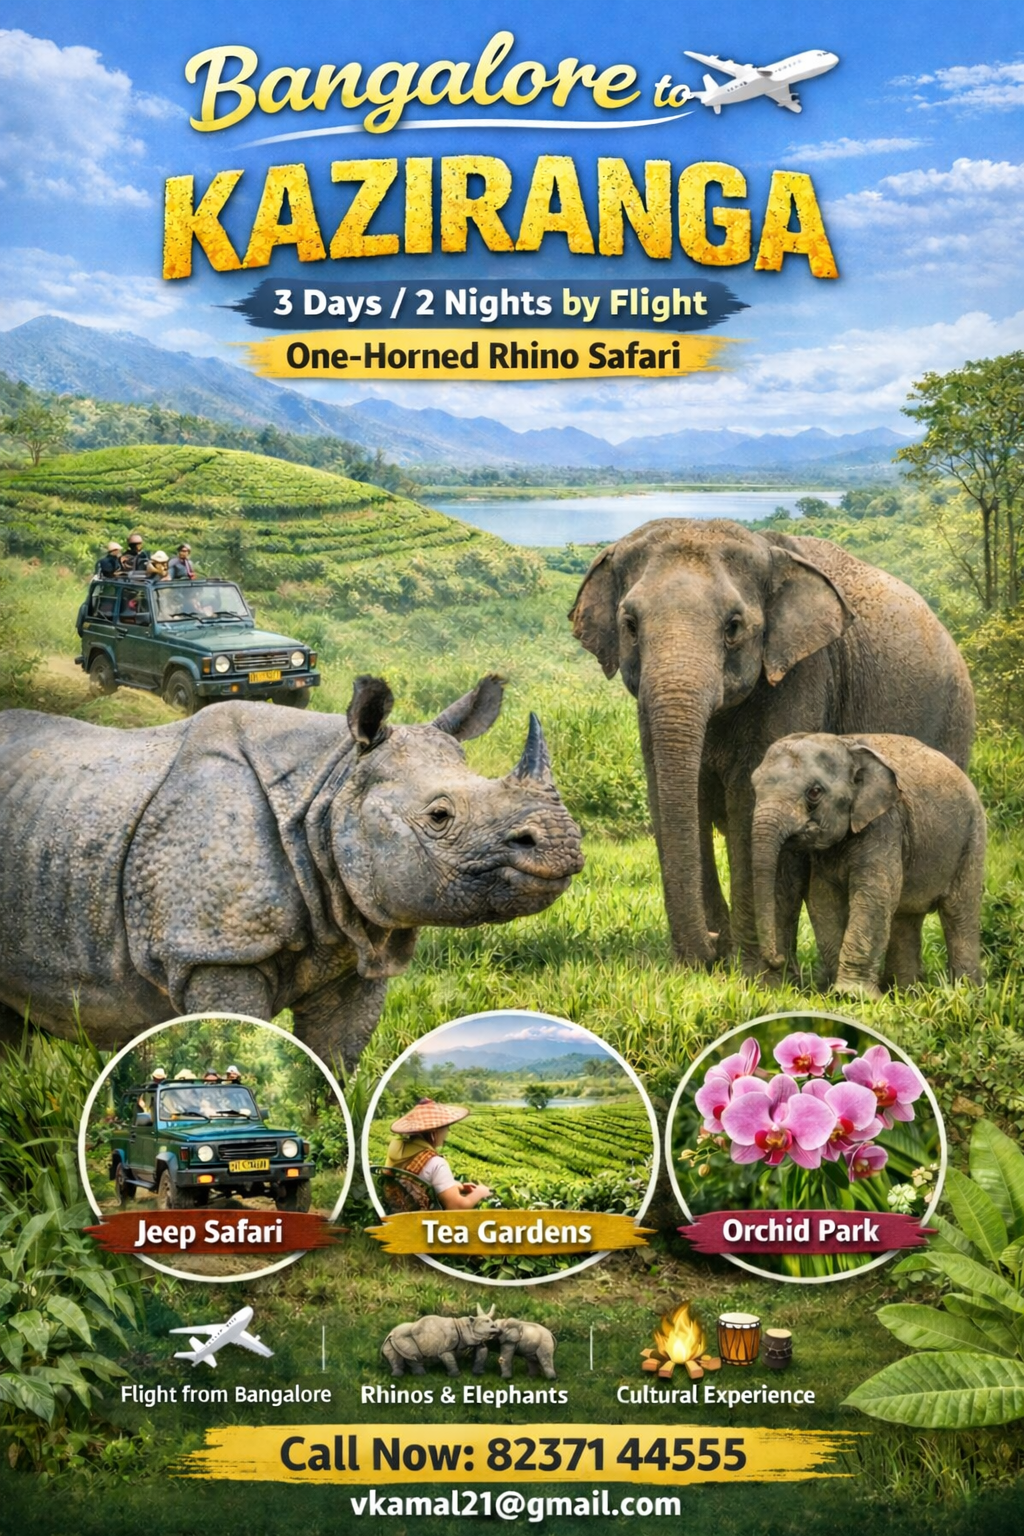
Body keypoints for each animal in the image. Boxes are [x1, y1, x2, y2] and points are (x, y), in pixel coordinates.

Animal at [0, 675, 583, 1063]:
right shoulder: (211, 949)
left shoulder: (355, 944)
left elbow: (335, 1059)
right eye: (439, 817)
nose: (561, 842)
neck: (330, 785)